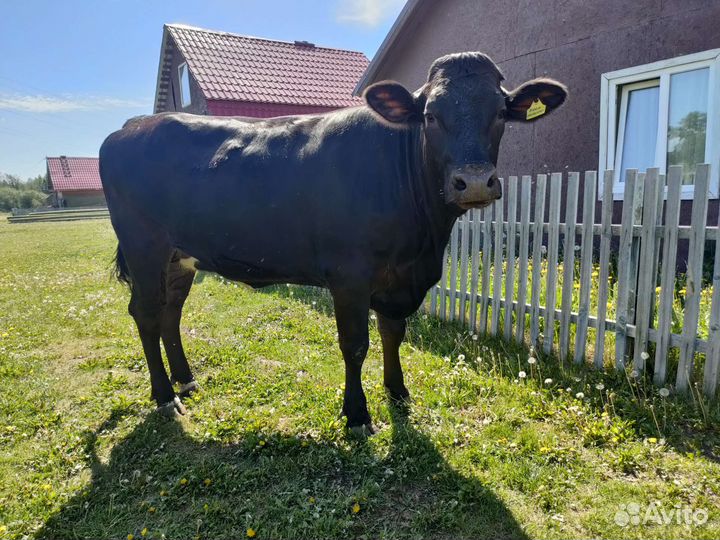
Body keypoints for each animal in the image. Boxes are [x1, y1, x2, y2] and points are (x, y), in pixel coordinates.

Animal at [99, 52, 566, 435]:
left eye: (500, 112)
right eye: (431, 115)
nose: (474, 181)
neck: (425, 243)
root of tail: (133, 125)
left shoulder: (399, 280)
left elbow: (393, 333)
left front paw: (398, 392)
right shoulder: (350, 276)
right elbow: (355, 345)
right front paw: (357, 414)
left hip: (180, 258)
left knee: (170, 314)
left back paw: (186, 379)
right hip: (145, 247)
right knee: (145, 314)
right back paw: (164, 396)